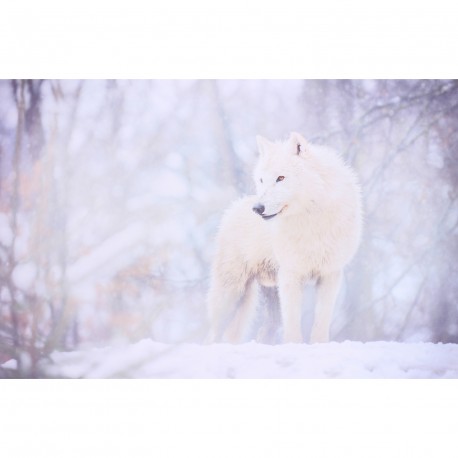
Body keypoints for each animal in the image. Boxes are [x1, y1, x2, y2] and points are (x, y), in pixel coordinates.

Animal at [207, 132, 362, 344]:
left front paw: (319, 344)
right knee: (212, 333)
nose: (257, 208)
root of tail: (235, 206)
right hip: (232, 291)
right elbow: (293, 323)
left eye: (280, 178)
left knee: (261, 331)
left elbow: (321, 321)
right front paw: (295, 345)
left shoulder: (330, 274)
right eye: (261, 180)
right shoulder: (291, 274)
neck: (310, 219)